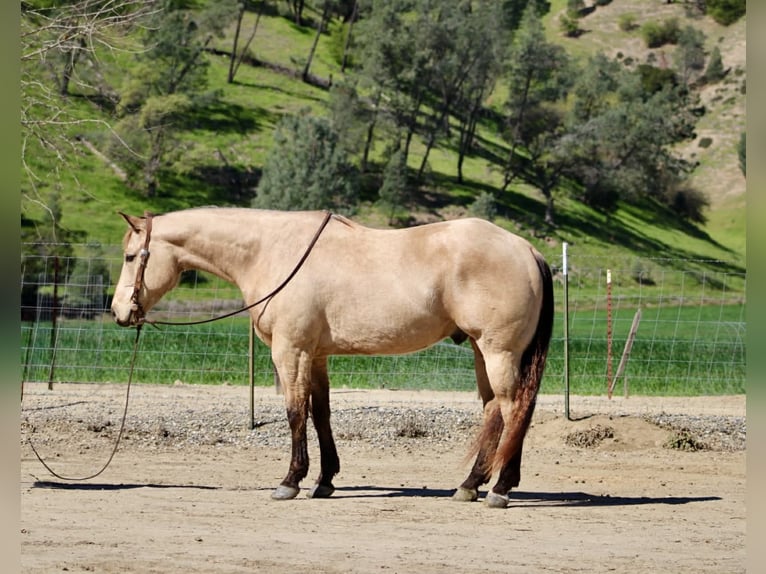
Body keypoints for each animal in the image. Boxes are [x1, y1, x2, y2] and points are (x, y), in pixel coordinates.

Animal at [111, 207, 554, 508]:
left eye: (131, 257)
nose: (119, 312)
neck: (272, 250)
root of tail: (527, 249)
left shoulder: (291, 351)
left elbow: (295, 413)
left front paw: (290, 481)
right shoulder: (317, 355)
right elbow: (320, 413)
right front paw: (324, 480)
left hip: (498, 352)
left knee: (514, 408)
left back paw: (500, 488)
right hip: (482, 351)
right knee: (494, 410)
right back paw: (470, 485)